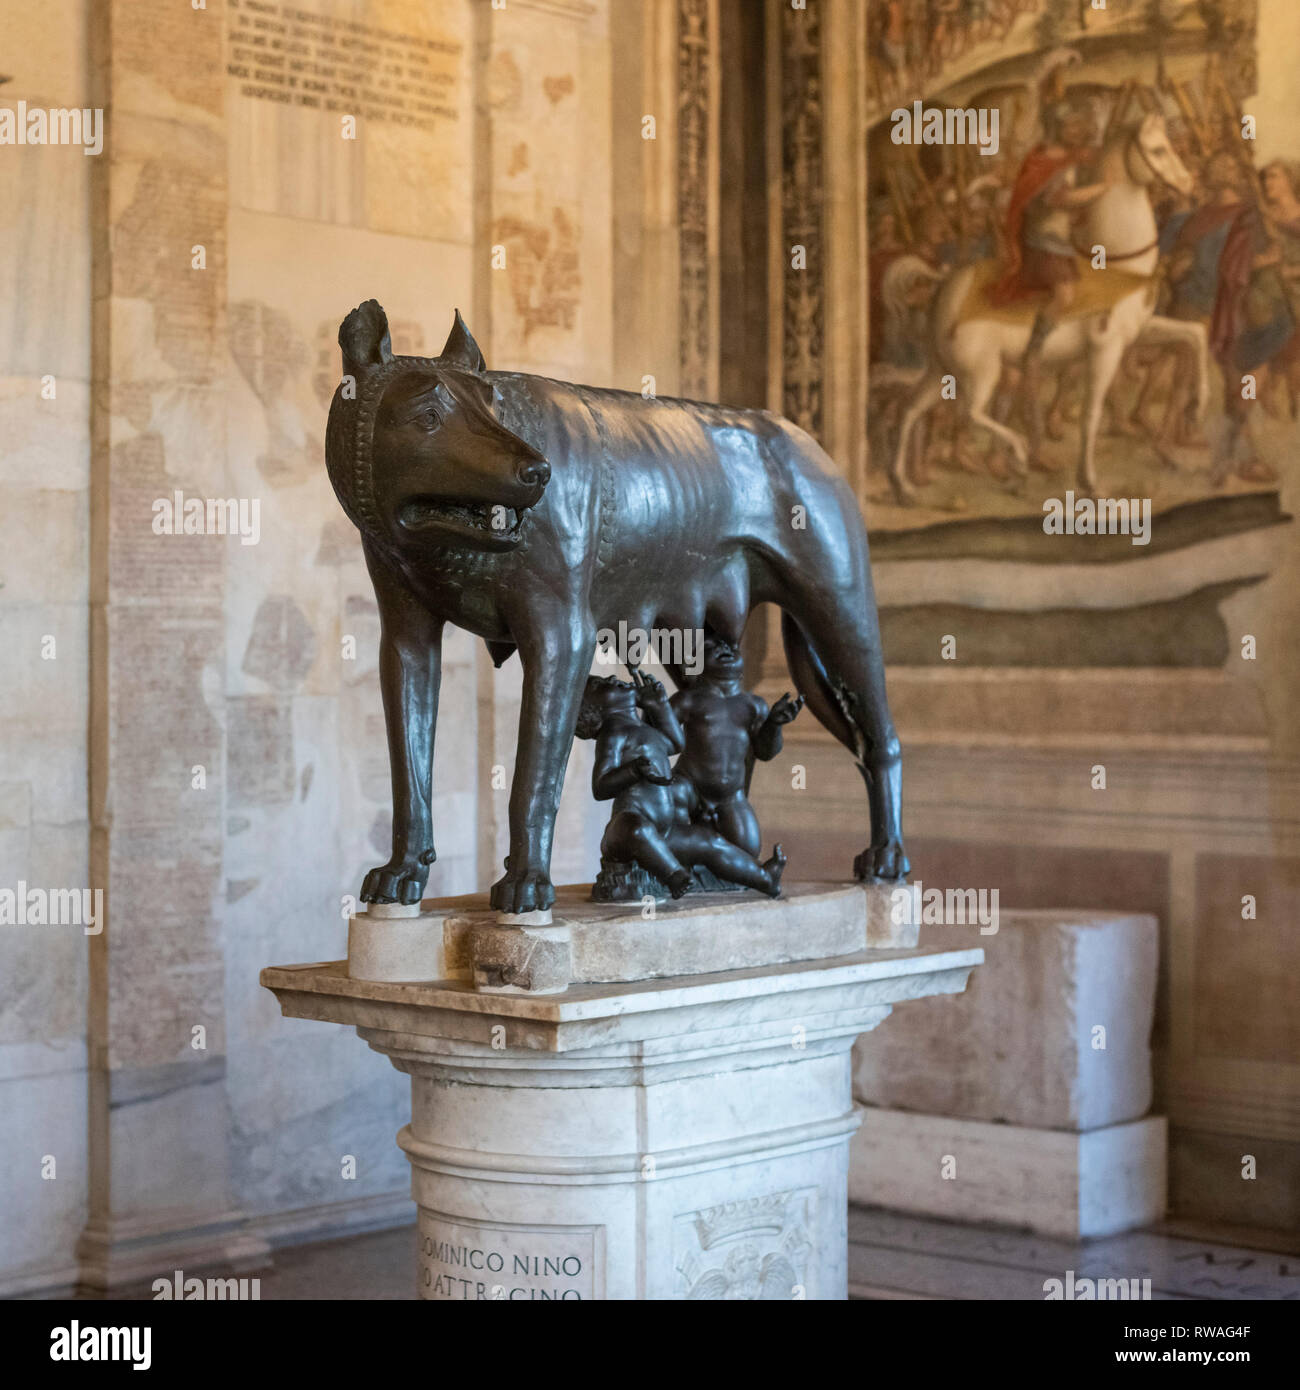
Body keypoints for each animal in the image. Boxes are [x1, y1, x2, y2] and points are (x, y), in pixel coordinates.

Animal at [895, 112, 1212, 500]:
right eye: (1158, 150)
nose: (1188, 183)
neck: (1116, 264)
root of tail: (945, 286)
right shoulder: (1105, 350)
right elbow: (1091, 414)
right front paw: (1089, 482)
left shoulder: (1138, 333)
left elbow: (1194, 335)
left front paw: (1198, 406)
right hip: (982, 370)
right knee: (970, 412)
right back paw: (1016, 456)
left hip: (942, 369)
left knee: (910, 409)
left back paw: (905, 485)